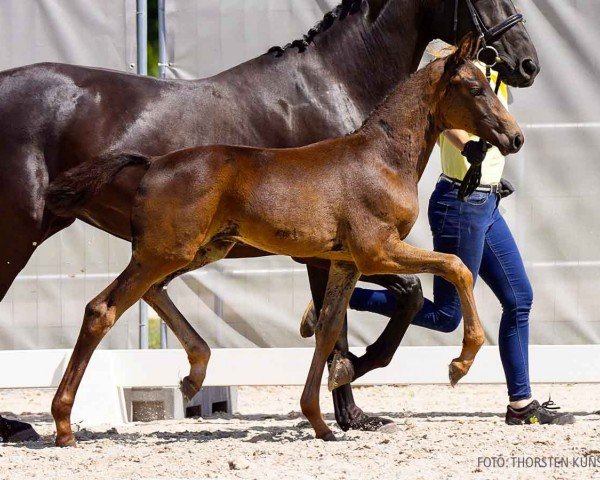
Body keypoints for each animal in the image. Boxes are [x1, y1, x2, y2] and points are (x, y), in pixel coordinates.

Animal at [47, 37, 524, 446]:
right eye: (475, 88)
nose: (515, 137)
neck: (382, 158)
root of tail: (152, 164)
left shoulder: (345, 262)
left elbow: (329, 329)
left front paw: (320, 421)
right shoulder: (376, 251)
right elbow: (456, 266)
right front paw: (461, 363)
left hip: (200, 249)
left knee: (152, 292)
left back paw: (194, 374)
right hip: (164, 252)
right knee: (102, 309)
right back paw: (64, 425)